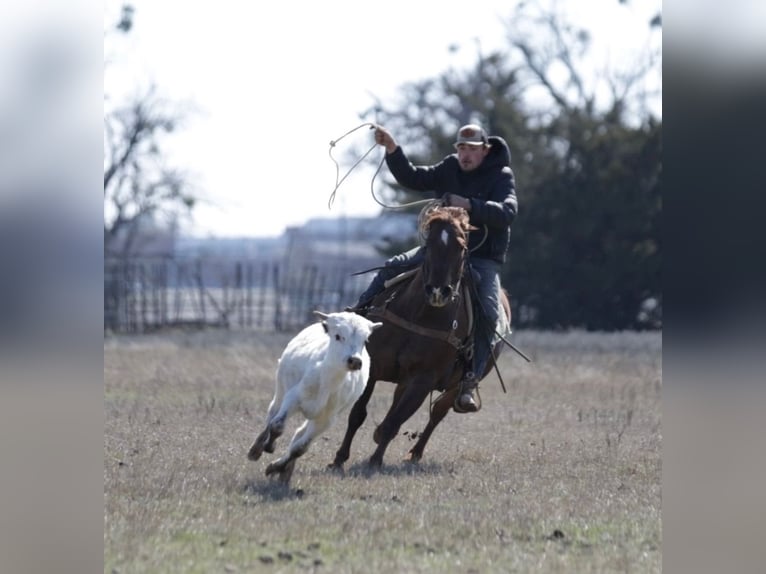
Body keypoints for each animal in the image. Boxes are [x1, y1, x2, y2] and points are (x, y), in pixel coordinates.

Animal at [248, 312, 382, 484]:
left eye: (365, 340)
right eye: (338, 336)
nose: (355, 361)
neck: (327, 380)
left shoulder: (325, 420)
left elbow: (299, 448)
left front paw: (275, 467)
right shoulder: (293, 398)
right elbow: (277, 425)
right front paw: (269, 447)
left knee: (298, 433)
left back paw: (286, 473)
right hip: (281, 390)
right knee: (272, 414)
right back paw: (256, 449)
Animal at [330, 207, 510, 472]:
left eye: (462, 246)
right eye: (429, 243)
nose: (438, 291)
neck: (419, 314)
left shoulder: (423, 380)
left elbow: (396, 421)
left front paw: (375, 462)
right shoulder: (373, 367)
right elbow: (358, 415)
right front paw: (339, 459)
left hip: (453, 386)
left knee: (437, 413)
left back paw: (414, 453)